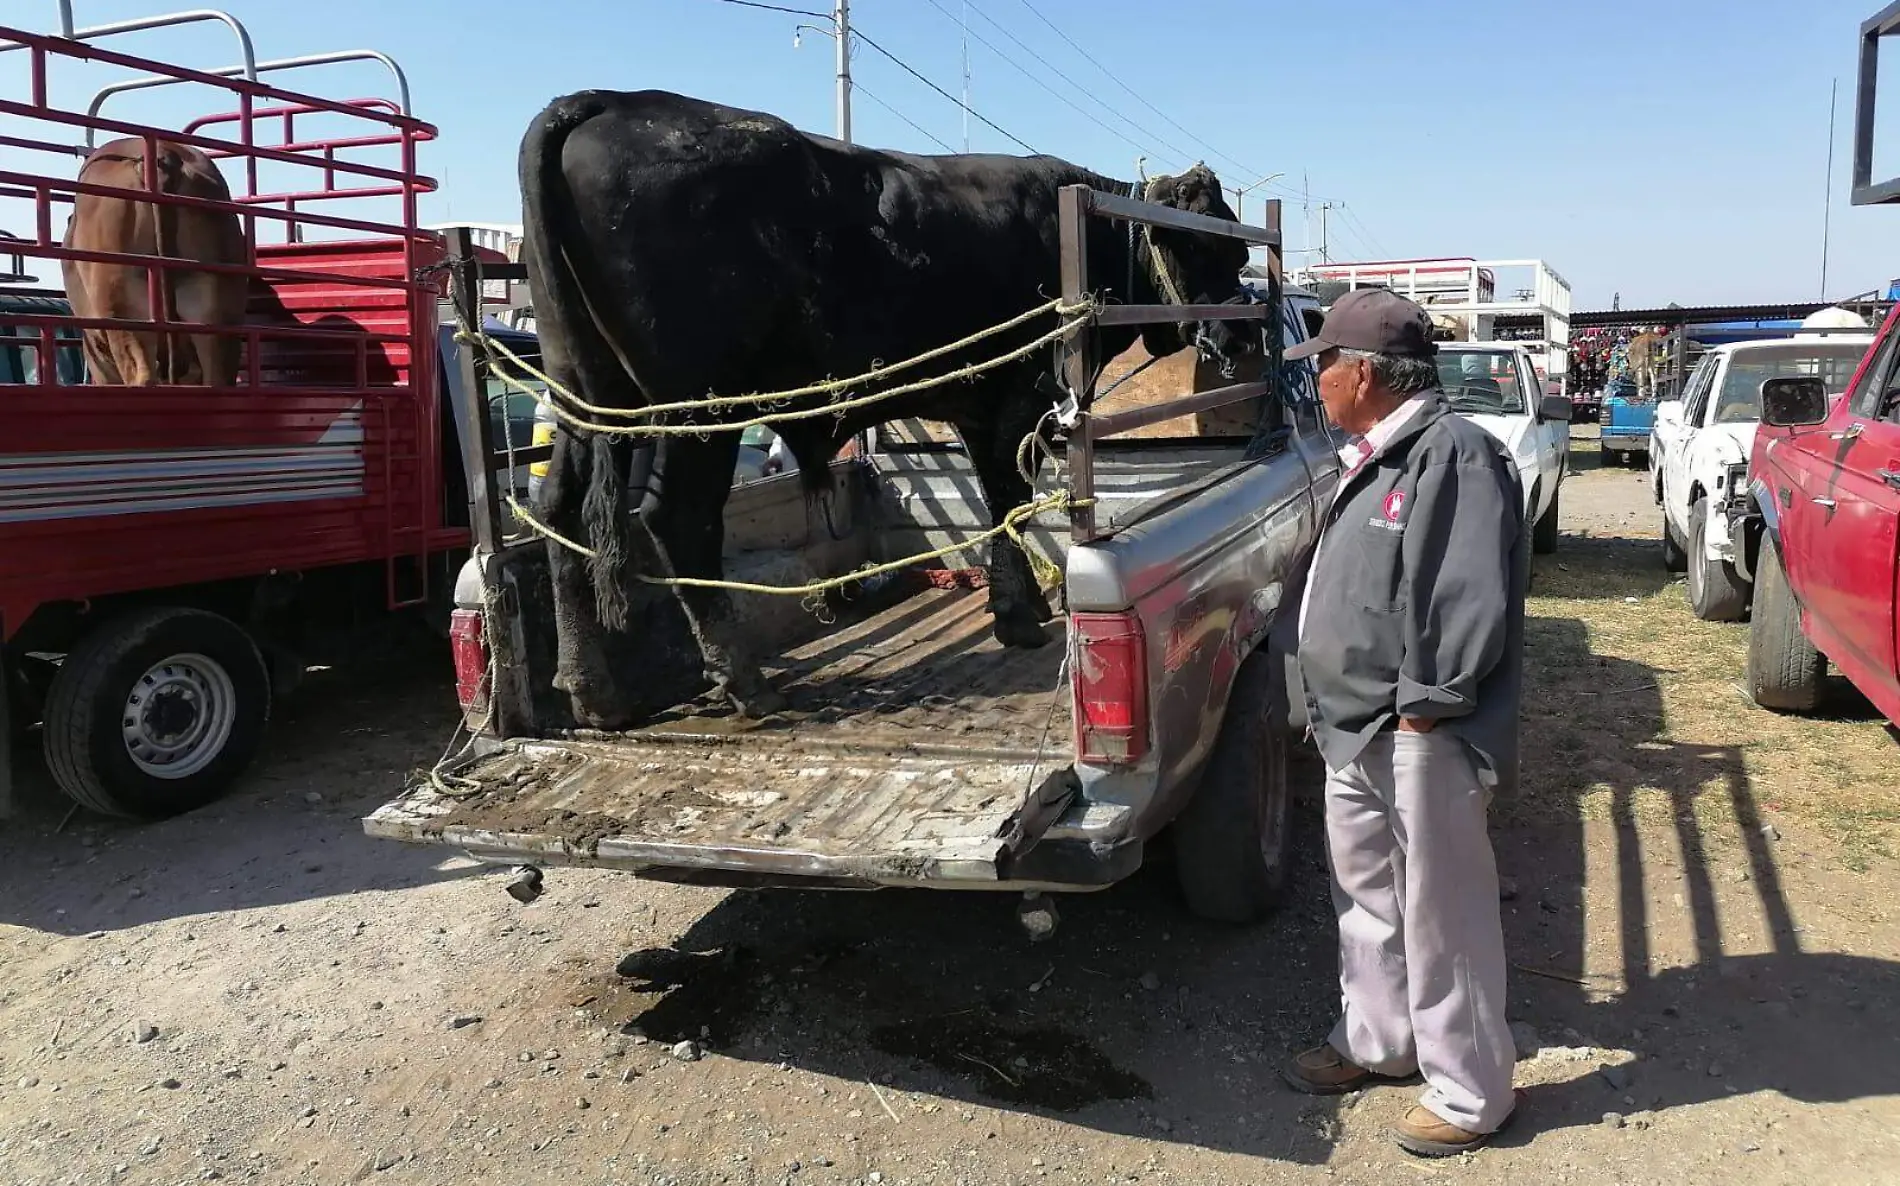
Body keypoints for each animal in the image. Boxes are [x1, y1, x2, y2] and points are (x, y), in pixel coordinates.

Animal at [520, 90, 1261, 722]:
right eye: (1211, 244)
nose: (1241, 334)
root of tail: (609, 100)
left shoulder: (978, 407)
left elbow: (998, 503)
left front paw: (1015, 605)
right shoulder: (1018, 395)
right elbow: (1010, 499)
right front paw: (1020, 617)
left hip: (585, 395)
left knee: (558, 511)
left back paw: (592, 690)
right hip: (699, 409)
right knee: (679, 520)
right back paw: (744, 682)